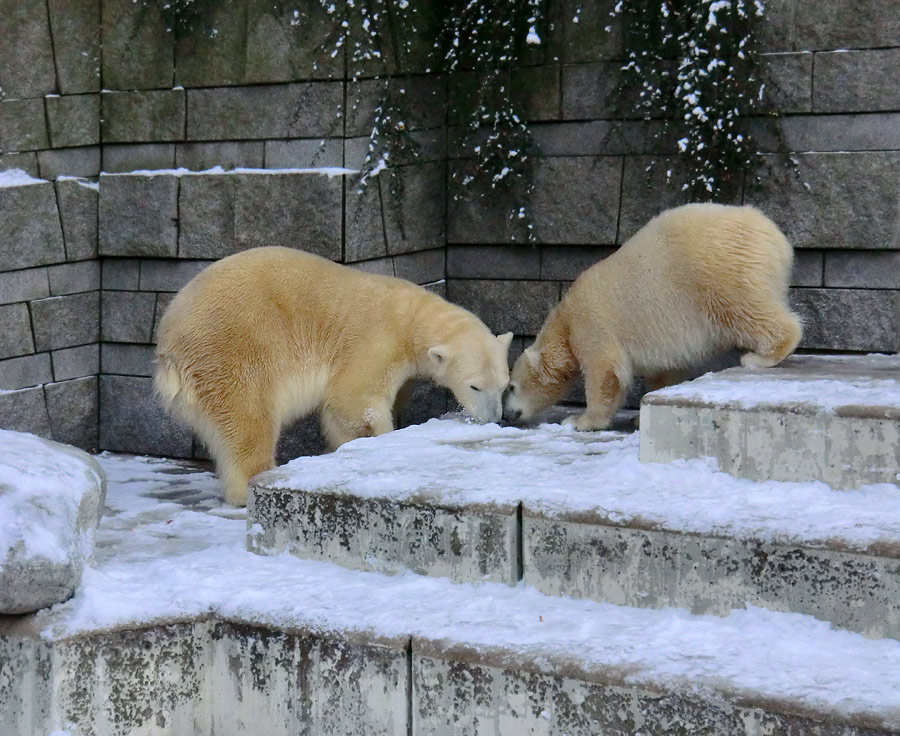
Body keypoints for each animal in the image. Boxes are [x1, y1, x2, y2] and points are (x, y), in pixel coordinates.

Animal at [151, 247, 510, 506]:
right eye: (475, 386)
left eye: (505, 386)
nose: (495, 418)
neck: (410, 316)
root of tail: (169, 342)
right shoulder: (376, 341)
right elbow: (352, 397)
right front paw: (382, 436)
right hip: (234, 353)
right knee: (248, 420)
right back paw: (255, 483)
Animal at [502, 203, 804, 432]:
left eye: (511, 387)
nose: (505, 415)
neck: (563, 322)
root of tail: (776, 239)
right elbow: (667, 371)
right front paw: (639, 415)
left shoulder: (590, 322)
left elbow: (605, 370)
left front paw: (580, 420)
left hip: (722, 274)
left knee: (748, 311)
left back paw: (762, 356)